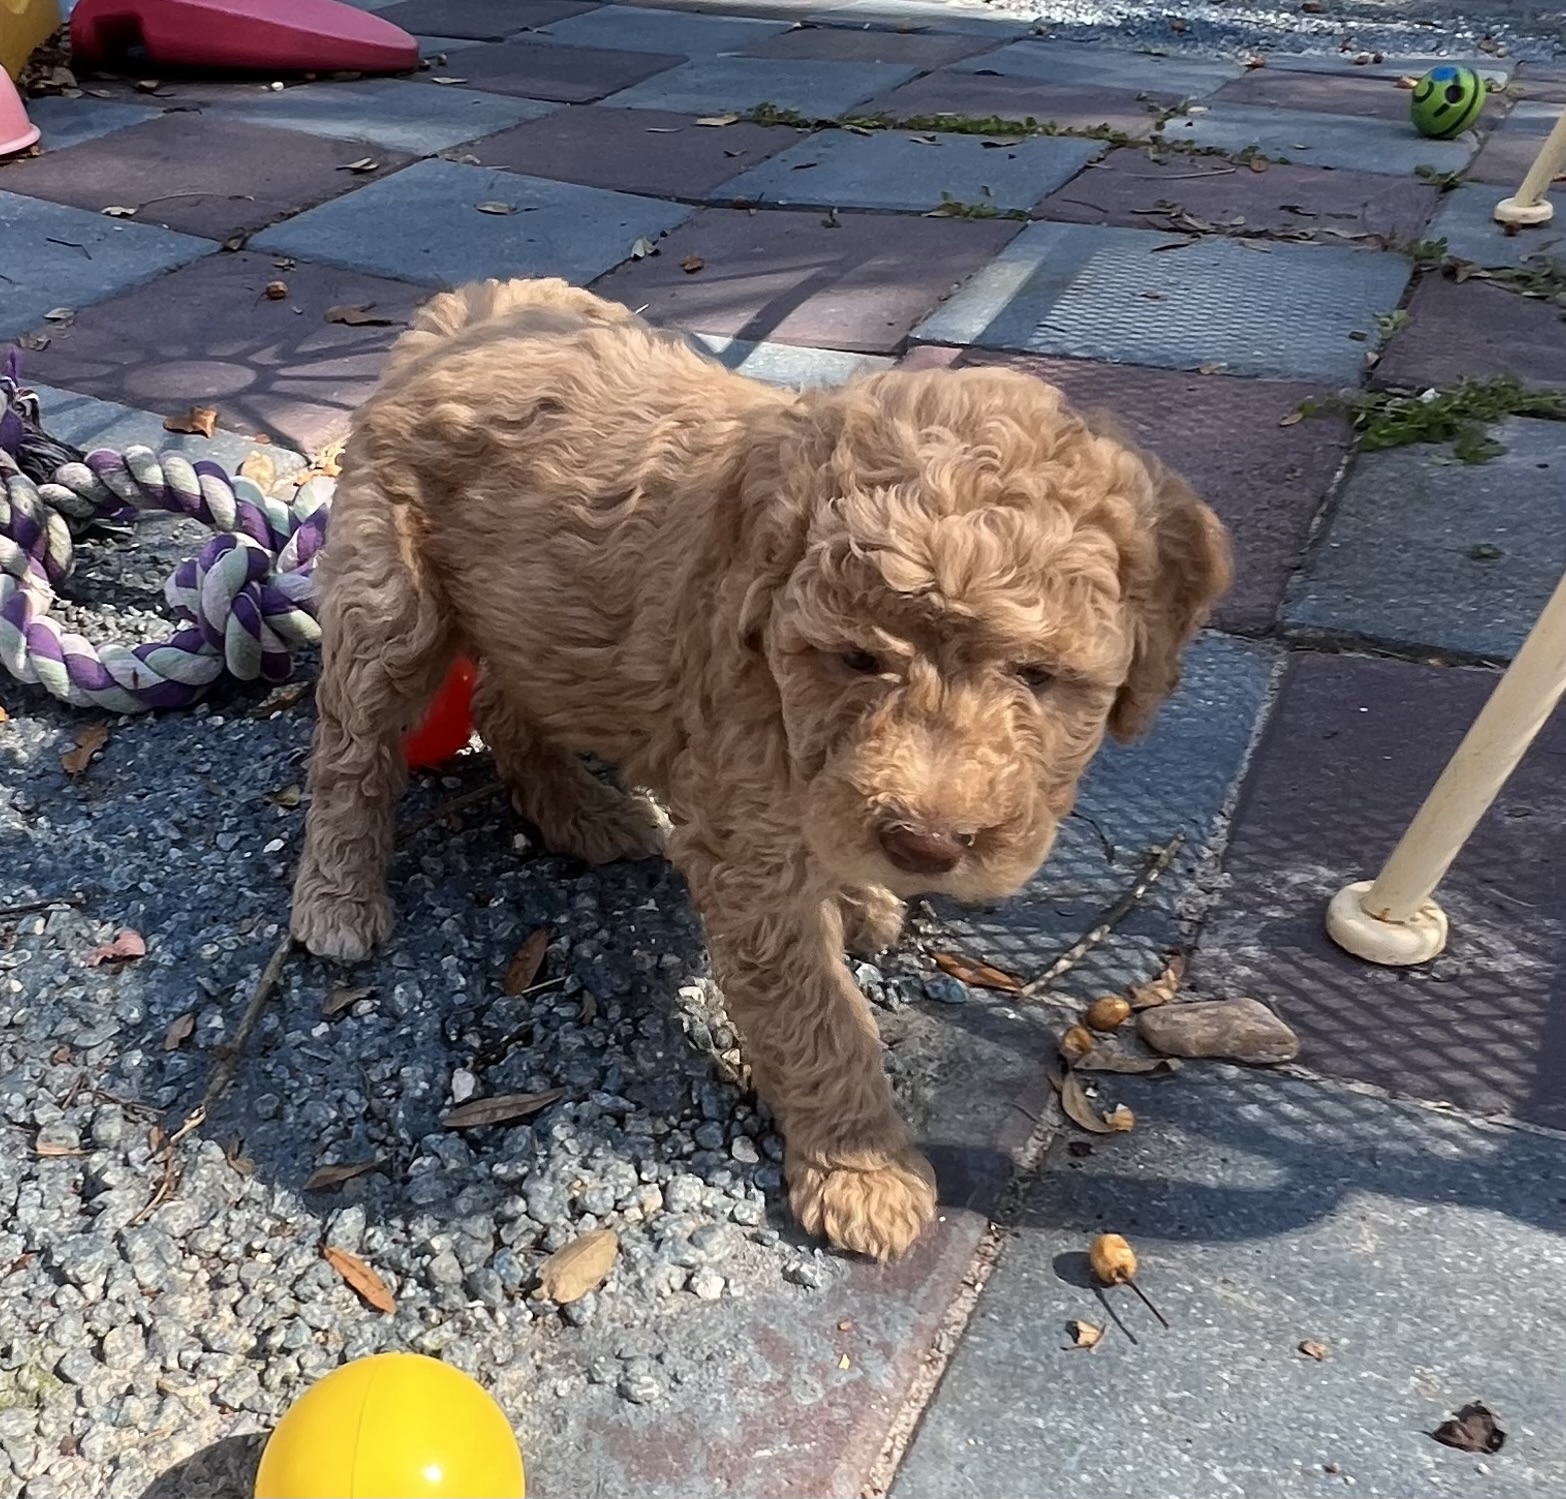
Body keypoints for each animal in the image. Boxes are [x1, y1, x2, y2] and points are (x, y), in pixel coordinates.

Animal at [291, 277, 1232, 1260]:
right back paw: (338, 898)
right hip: (392, 600)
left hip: (533, 610)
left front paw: (860, 897)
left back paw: (587, 815)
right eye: (857, 658)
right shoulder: (751, 847)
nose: (927, 845)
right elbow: (816, 1014)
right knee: (352, 743)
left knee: (505, 703)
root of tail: (464, 311)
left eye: (1039, 675)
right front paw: (862, 1171)